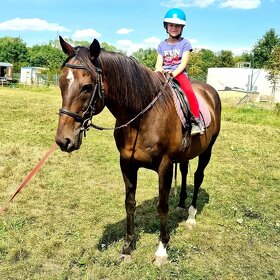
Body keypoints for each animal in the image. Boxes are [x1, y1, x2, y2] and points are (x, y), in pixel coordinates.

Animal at [54, 36, 221, 266]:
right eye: (61, 83)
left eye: (87, 87)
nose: (64, 140)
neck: (143, 115)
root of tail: (209, 90)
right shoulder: (127, 163)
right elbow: (129, 203)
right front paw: (127, 247)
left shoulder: (165, 166)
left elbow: (162, 206)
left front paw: (162, 249)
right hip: (185, 154)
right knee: (185, 171)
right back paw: (180, 205)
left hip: (208, 149)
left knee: (198, 177)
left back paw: (190, 215)